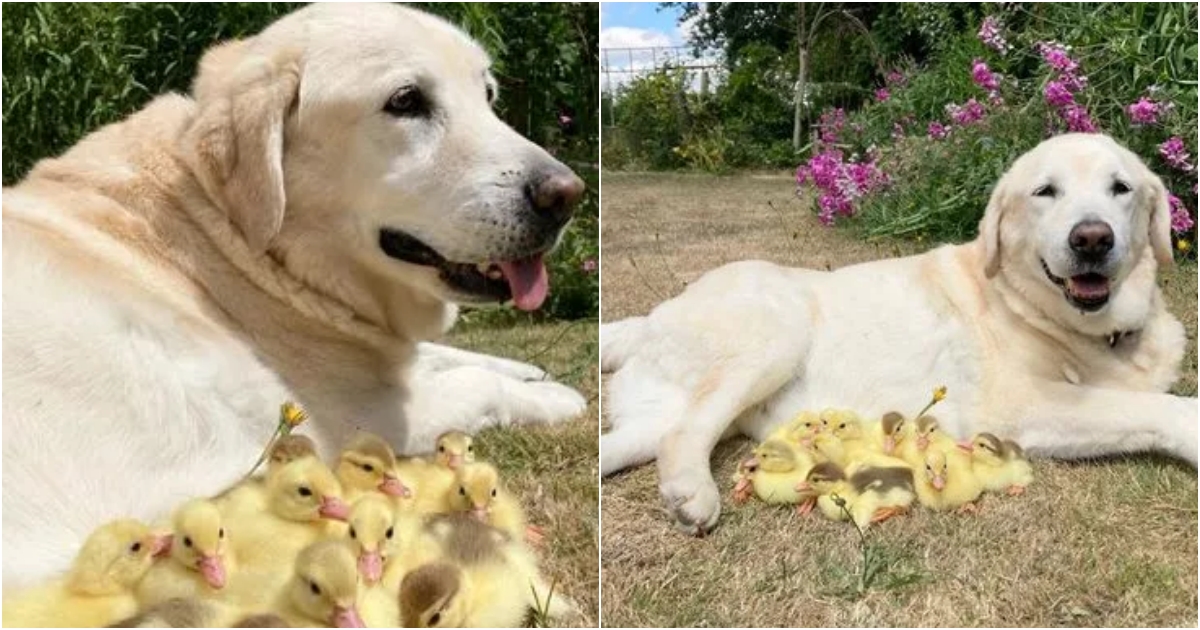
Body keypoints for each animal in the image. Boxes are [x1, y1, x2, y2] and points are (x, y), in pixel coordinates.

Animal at [3, 3, 585, 585]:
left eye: (487, 95)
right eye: (406, 101)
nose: (567, 196)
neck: (222, 225)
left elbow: (448, 354)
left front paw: (530, 370)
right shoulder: (370, 416)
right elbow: (475, 382)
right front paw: (556, 396)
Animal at [604, 135, 1195, 532]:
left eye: (1120, 189)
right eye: (1045, 192)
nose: (1093, 238)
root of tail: (652, 316)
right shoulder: (1023, 405)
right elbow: (1161, 408)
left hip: (651, 418)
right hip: (776, 333)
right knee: (685, 433)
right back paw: (691, 493)